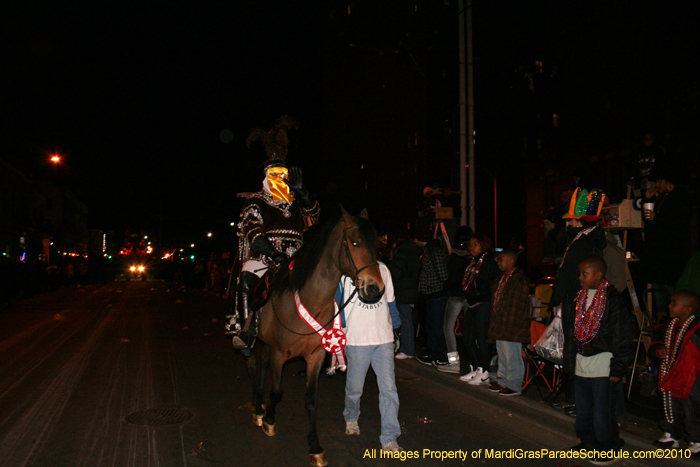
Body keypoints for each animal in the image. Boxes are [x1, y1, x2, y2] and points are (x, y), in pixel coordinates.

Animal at [245, 209, 382, 467]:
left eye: (377, 244)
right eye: (355, 243)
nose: (375, 289)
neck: (311, 301)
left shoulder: (315, 357)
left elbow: (311, 400)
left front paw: (315, 447)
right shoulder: (280, 353)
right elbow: (276, 392)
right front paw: (269, 421)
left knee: (261, 363)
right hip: (261, 341)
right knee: (256, 364)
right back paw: (258, 410)